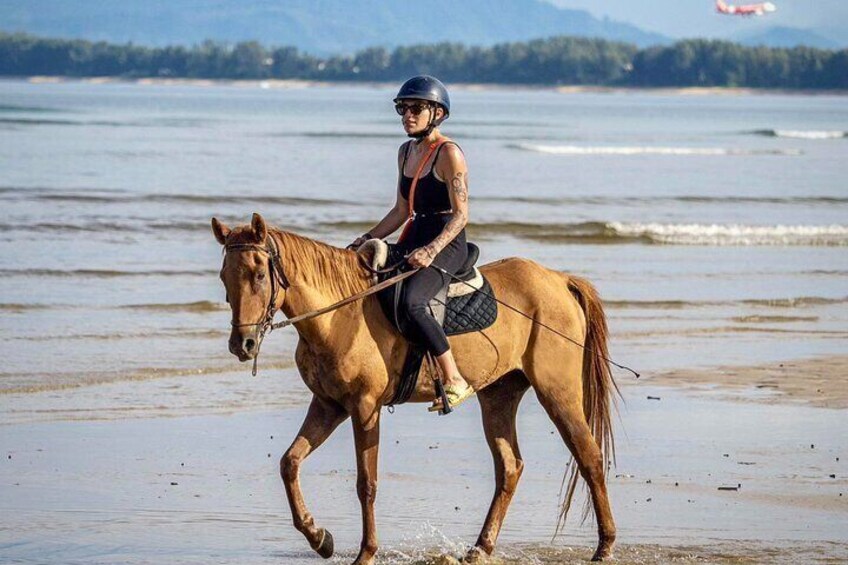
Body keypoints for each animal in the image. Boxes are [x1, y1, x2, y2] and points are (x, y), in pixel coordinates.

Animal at [212, 214, 620, 560]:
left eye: (259, 274)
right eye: (224, 277)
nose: (242, 345)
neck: (340, 314)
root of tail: (560, 280)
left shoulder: (365, 407)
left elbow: (367, 483)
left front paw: (365, 553)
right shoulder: (329, 405)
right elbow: (289, 463)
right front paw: (319, 538)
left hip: (557, 392)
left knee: (589, 456)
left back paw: (604, 546)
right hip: (499, 394)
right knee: (509, 467)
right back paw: (481, 548)